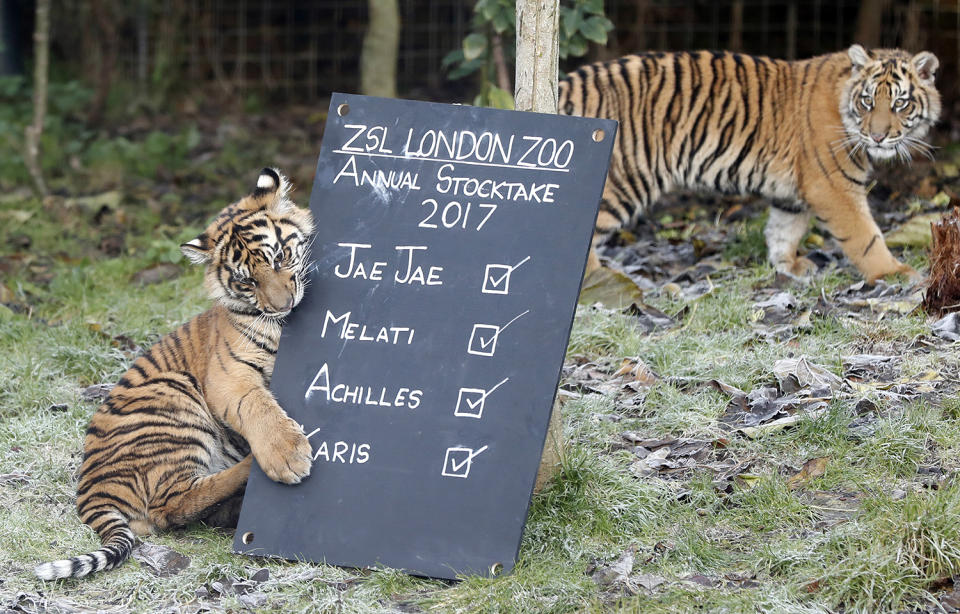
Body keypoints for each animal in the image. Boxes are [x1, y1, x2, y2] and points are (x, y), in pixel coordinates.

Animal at [35, 168, 316, 584]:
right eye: (246, 282)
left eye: (280, 257)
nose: (283, 307)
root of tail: (89, 488)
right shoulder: (228, 377)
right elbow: (259, 407)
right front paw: (287, 455)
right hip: (174, 396)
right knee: (171, 506)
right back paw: (248, 470)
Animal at [560, 45, 940, 284]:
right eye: (867, 101)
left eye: (900, 103)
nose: (877, 137)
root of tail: (568, 83)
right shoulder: (833, 186)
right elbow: (865, 236)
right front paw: (893, 273)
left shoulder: (793, 194)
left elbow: (784, 229)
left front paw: (789, 266)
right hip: (622, 181)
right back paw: (598, 281)